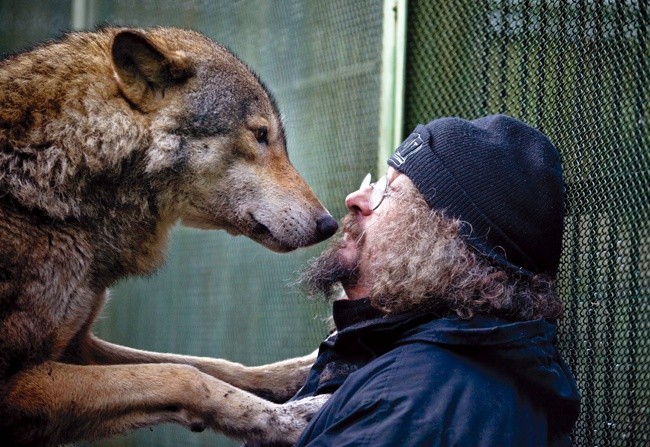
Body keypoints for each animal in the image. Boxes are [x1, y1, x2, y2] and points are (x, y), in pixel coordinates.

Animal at [0, 28, 334, 447]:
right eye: (261, 135)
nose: (329, 224)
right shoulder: (17, 382)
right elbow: (183, 376)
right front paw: (287, 419)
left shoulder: (79, 346)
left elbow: (214, 365)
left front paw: (304, 370)